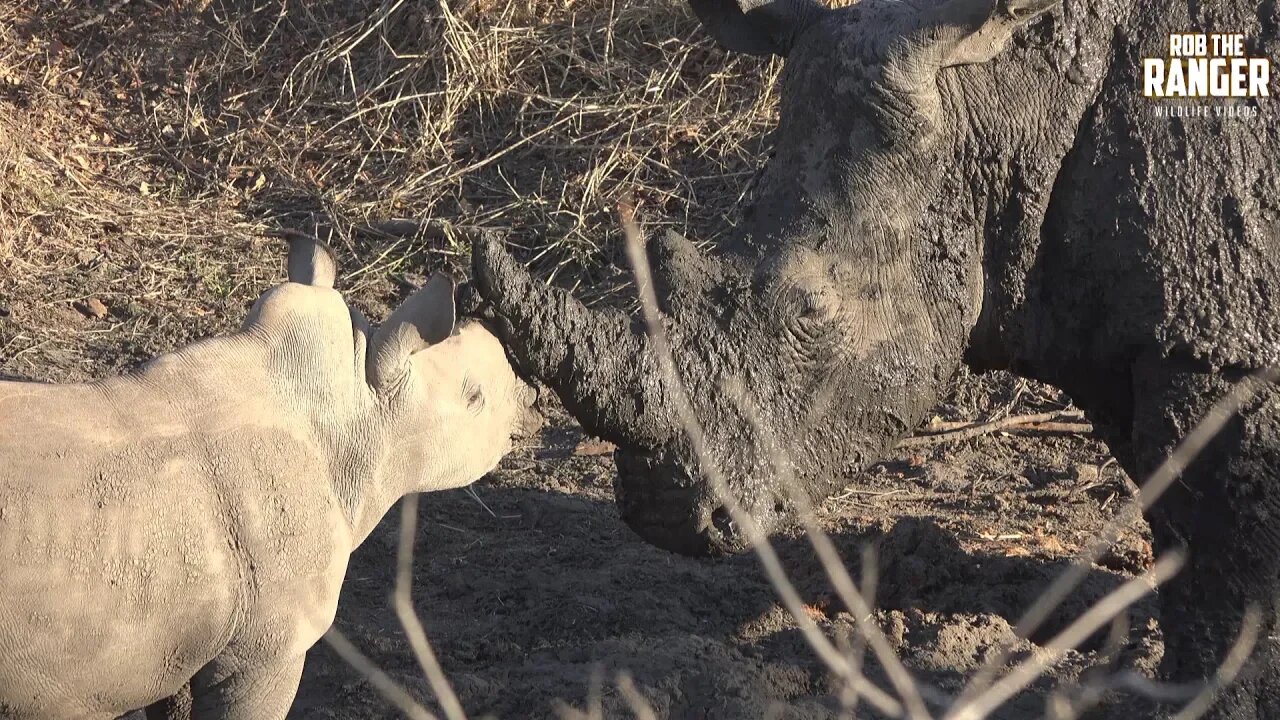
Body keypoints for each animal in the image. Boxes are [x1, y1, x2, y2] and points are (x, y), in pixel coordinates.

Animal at [476, 0, 1280, 712]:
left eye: (812, 311)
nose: (661, 517)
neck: (1006, 101)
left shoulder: (1216, 349)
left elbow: (1221, 548)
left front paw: (1215, 698)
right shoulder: (1128, 331)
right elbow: (1178, 513)